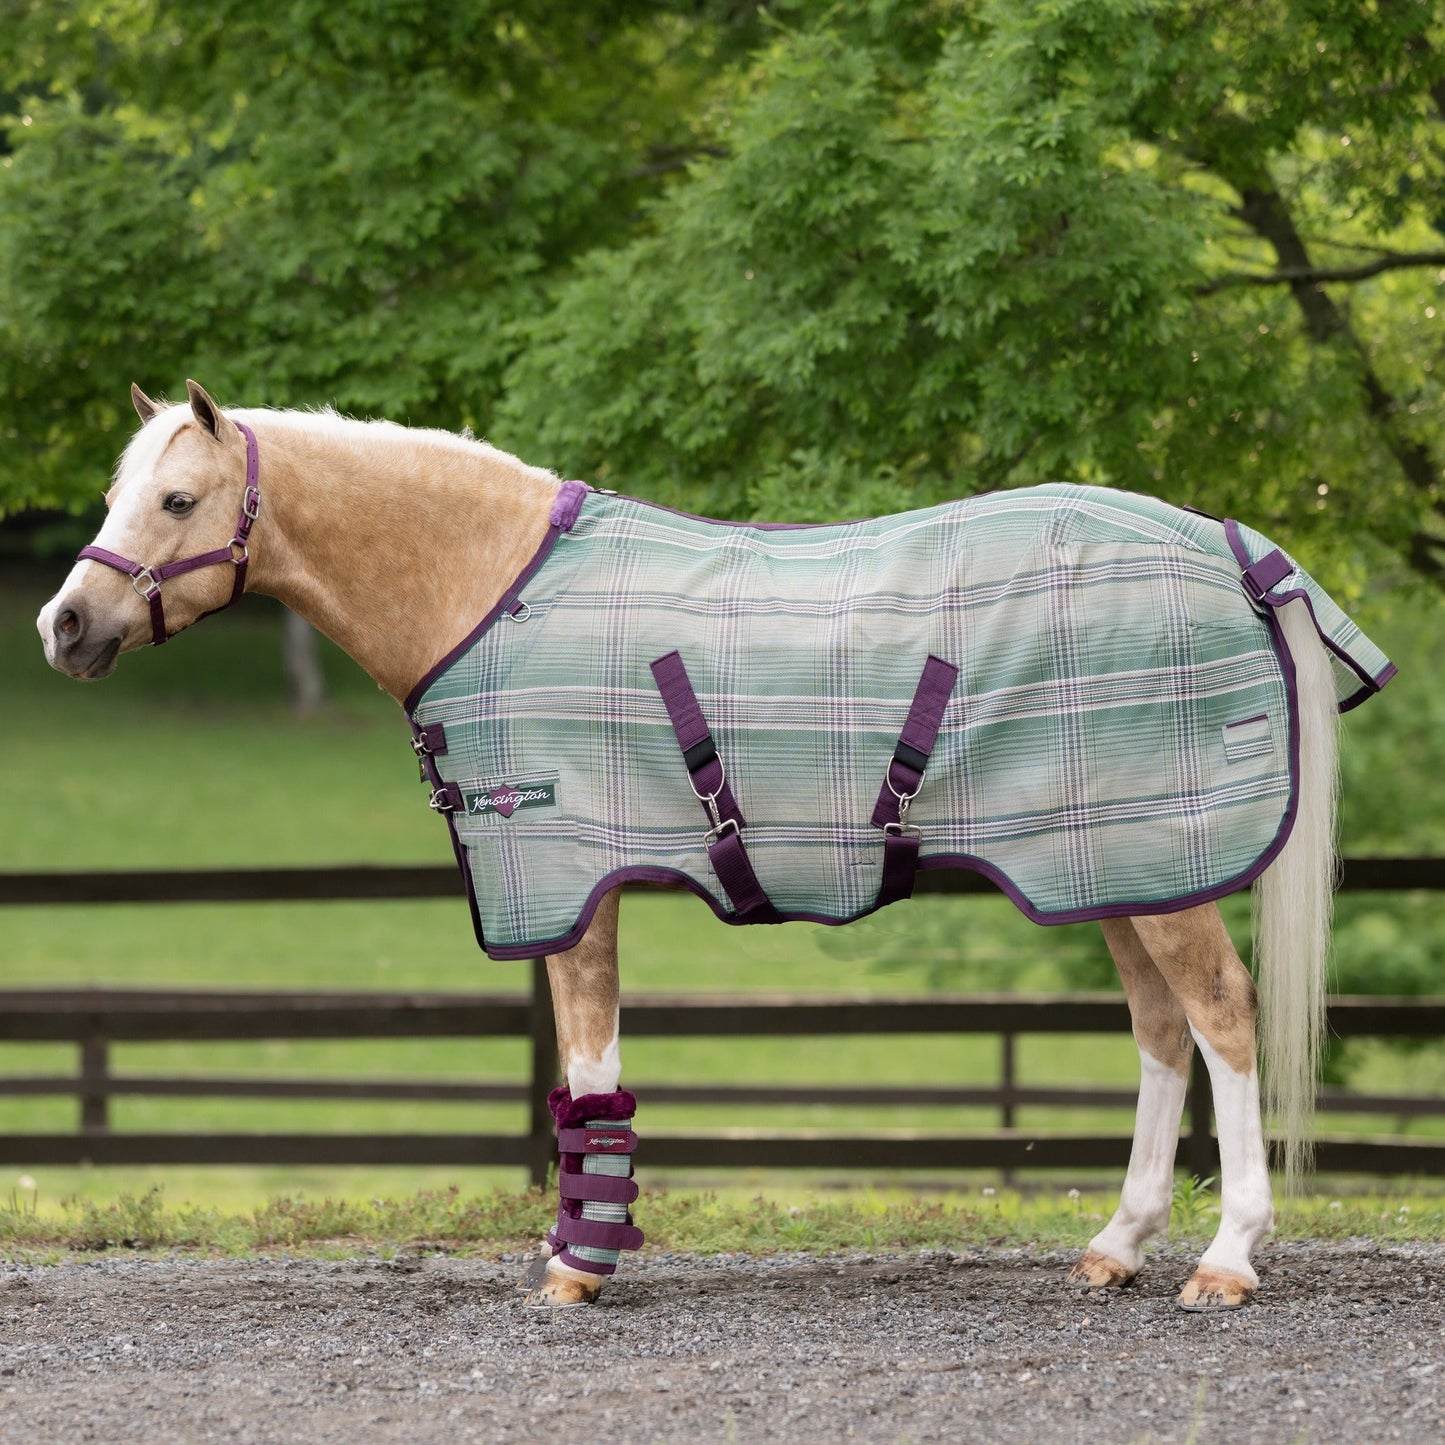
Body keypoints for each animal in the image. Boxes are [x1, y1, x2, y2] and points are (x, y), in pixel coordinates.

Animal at [38, 381, 1393, 1312]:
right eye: (111, 498)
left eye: (175, 501)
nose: (64, 626)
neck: (489, 589)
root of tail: (1229, 545)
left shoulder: (570, 882)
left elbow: (590, 1070)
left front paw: (578, 1265)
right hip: (1106, 866)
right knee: (1161, 1029)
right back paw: (1115, 1243)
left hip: (1156, 871)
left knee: (1218, 1015)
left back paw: (1226, 1256)